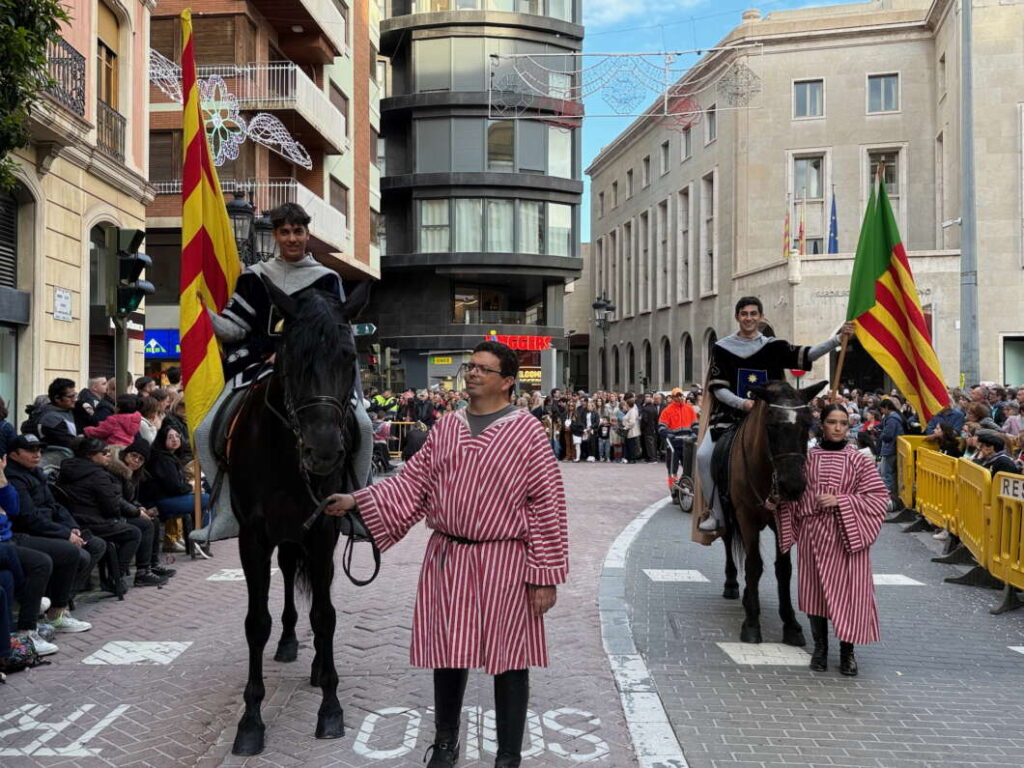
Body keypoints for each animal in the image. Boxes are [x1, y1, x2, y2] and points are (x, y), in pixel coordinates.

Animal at [227, 278, 368, 757]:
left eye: (349, 356)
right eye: (291, 356)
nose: (324, 451)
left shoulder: (323, 530)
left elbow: (325, 616)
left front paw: (331, 707)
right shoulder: (252, 537)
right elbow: (255, 623)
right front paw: (250, 721)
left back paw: (317, 664)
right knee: (288, 573)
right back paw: (289, 642)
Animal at [716, 382, 827, 647]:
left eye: (808, 424)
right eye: (772, 425)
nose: (793, 486)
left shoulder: (781, 521)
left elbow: (783, 568)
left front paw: (791, 624)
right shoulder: (745, 517)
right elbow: (754, 565)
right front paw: (751, 624)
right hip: (728, 512)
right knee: (729, 542)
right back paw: (732, 584)